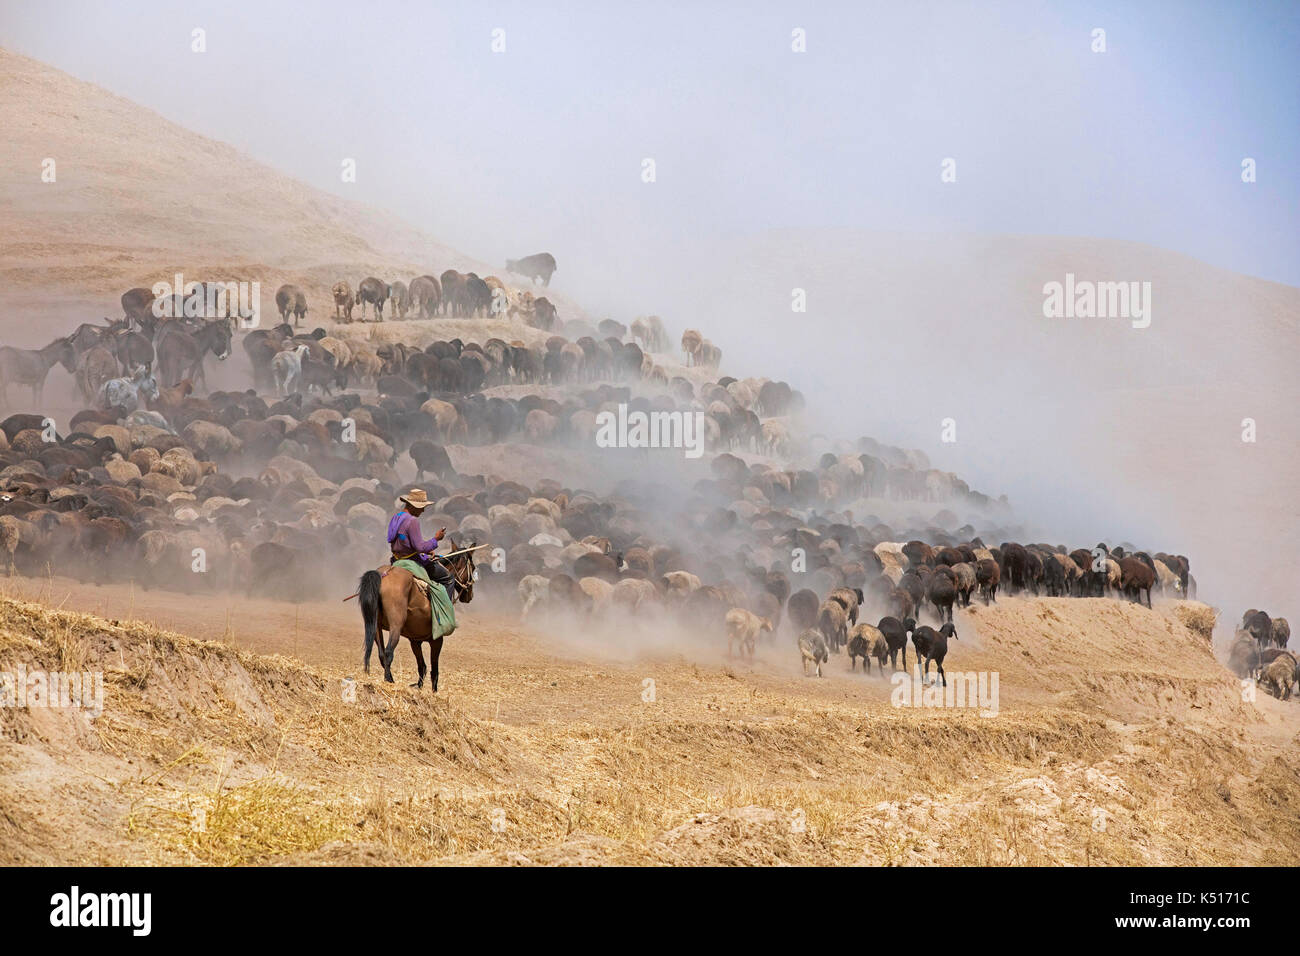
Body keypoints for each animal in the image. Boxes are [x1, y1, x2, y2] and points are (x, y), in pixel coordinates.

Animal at [356, 541, 478, 691]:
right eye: (473, 567)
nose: (470, 595)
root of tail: (383, 574)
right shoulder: (437, 640)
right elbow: (434, 670)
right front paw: (433, 691)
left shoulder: (415, 641)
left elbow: (422, 666)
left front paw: (419, 687)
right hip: (395, 626)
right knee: (389, 652)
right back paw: (389, 682)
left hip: (375, 626)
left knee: (381, 654)